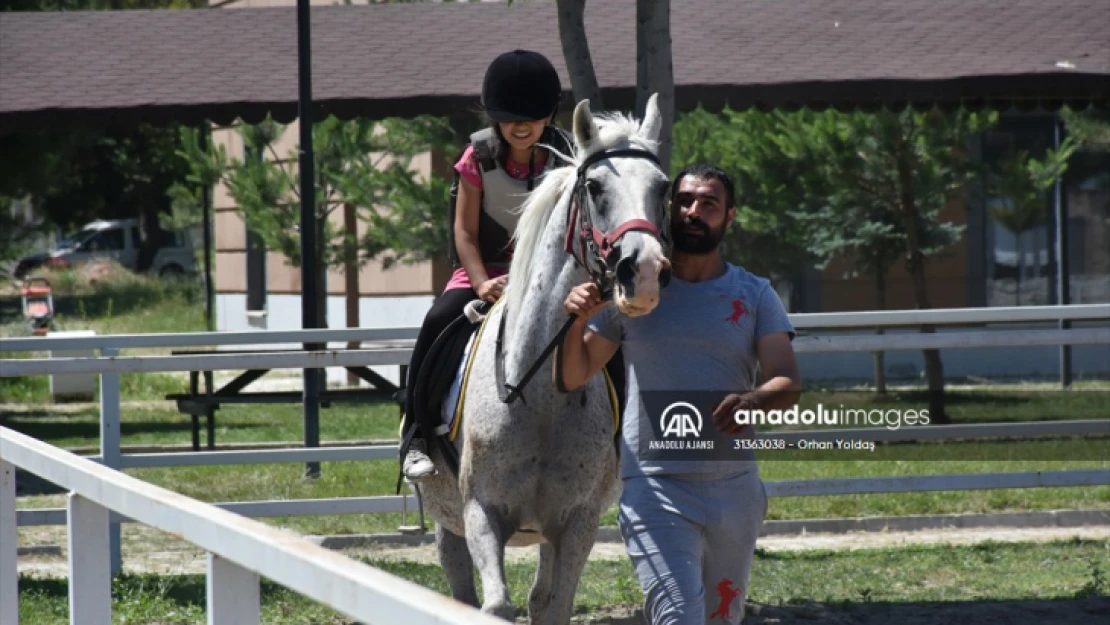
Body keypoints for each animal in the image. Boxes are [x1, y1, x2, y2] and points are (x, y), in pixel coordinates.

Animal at [417, 94, 670, 625]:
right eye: (595, 188)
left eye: (662, 189)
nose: (645, 273)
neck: (539, 394)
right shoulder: (480, 513)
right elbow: (495, 605)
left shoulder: (576, 522)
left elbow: (553, 606)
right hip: (448, 519)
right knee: (457, 580)